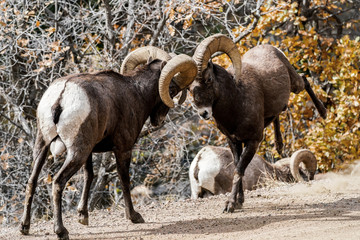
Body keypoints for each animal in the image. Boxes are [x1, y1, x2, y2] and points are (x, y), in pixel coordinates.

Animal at [20, 47, 198, 240]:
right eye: (172, 90)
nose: (158, 120)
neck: (136, 93)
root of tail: (62, 96)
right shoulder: (123, 149)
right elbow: (124, 180)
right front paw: (134, 217)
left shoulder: (90, 153)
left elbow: (89, 176)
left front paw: (83, 216)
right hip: (76, 153)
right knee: (58, 182)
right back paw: (61, 231)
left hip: (44, 146)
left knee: (31, 181)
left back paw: (25, 227)